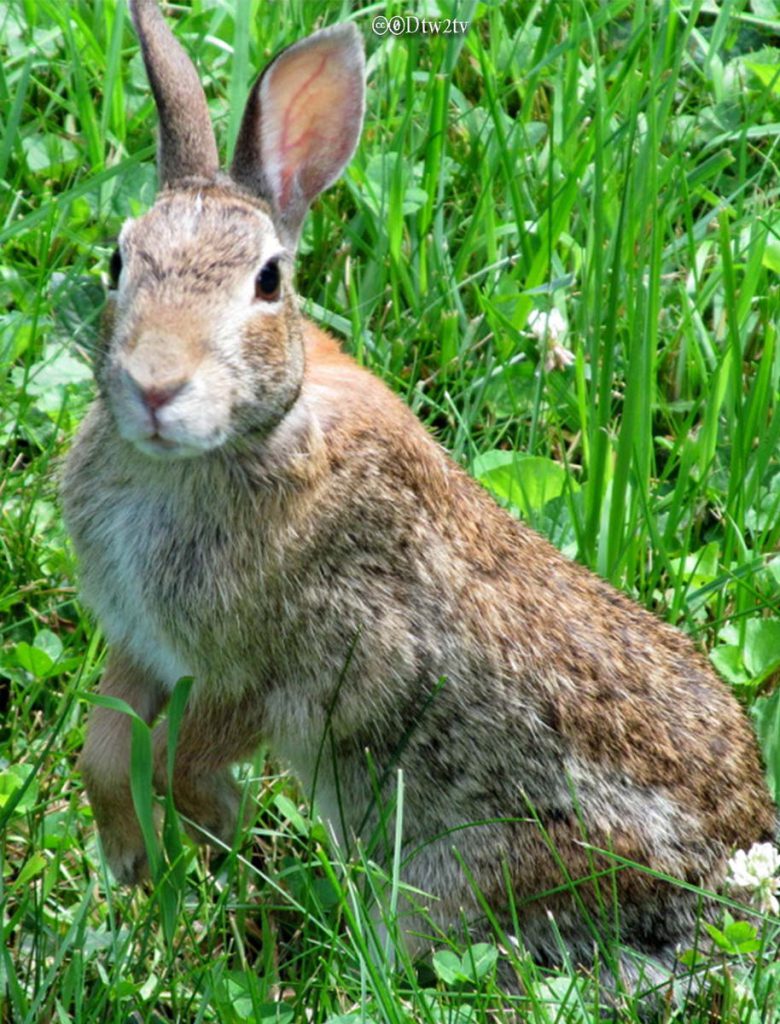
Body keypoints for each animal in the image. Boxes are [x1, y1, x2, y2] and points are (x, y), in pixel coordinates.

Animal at [61, 0, 776, 996]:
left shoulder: (283, 667)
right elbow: (106, 744)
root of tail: (728, 901)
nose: (156, 384)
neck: (232, 443)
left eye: (268, 282)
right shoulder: (145, 645)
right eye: (118, 260)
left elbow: (182, 753)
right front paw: (133, 858)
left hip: (469, 872)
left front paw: (213, 827)